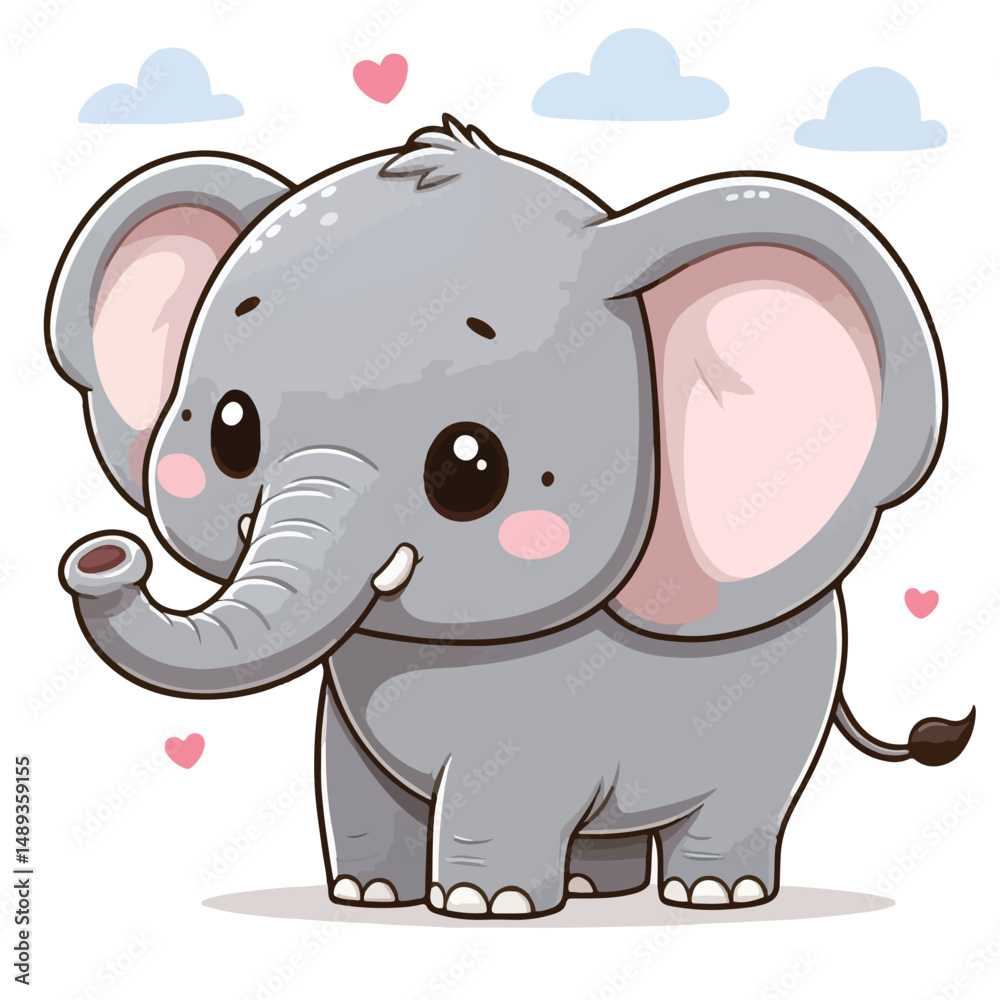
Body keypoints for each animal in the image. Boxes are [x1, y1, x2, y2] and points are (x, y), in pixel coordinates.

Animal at [48, 115, 974, 918]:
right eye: (231, 433)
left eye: (469, 469)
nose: (103, 559)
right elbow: (349, 774)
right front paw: (368, 897)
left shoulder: (551, 714)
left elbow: (508, 782)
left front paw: (481, 907)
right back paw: (597, 890)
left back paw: (714, 894)